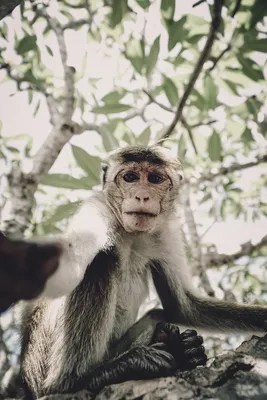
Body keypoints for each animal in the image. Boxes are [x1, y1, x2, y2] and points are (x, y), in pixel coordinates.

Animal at [20, 145, 267, 398]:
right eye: (130, 177)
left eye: (155, 179)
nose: (142, 196)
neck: (130, 233)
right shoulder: (97, 209)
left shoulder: (164, 231)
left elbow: (184, 307)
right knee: (99, 262)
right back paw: (84, 378)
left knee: (157, 314)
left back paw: (179, 349)